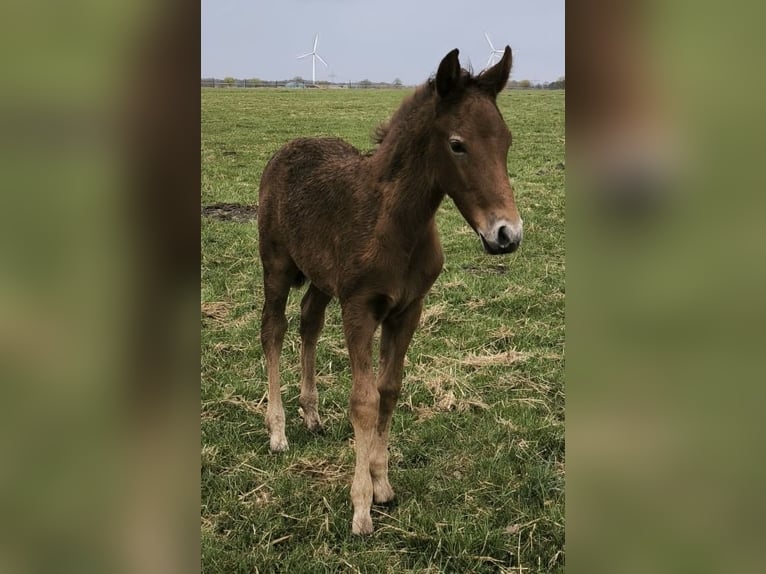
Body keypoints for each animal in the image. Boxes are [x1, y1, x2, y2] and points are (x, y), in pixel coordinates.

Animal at [257, 46, 522, 535]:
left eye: (507, 141)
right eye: (457, 144)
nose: (506, 235)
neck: (396, 223)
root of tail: (288, 148)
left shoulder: (407, 309)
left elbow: (389, 390)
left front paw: (381, 484)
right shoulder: (360, 308)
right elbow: (363, 400)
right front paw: (361, 508)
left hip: (322, 281)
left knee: (308, 321)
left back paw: (311, 414)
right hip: (277, 266)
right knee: (273, 329)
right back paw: (278, 431)